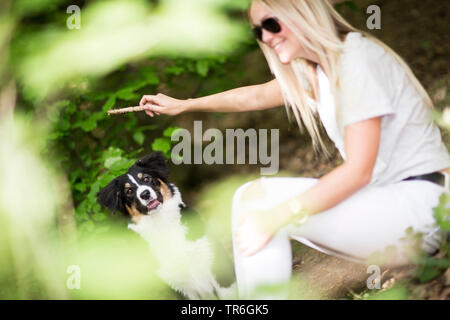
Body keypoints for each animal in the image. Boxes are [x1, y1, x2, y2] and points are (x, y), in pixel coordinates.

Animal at [96, 151, 234, 298]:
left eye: (147, 178)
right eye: (128, 191)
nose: (145, 194)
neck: (161, 223)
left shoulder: (218, 270)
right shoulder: (180, 286)